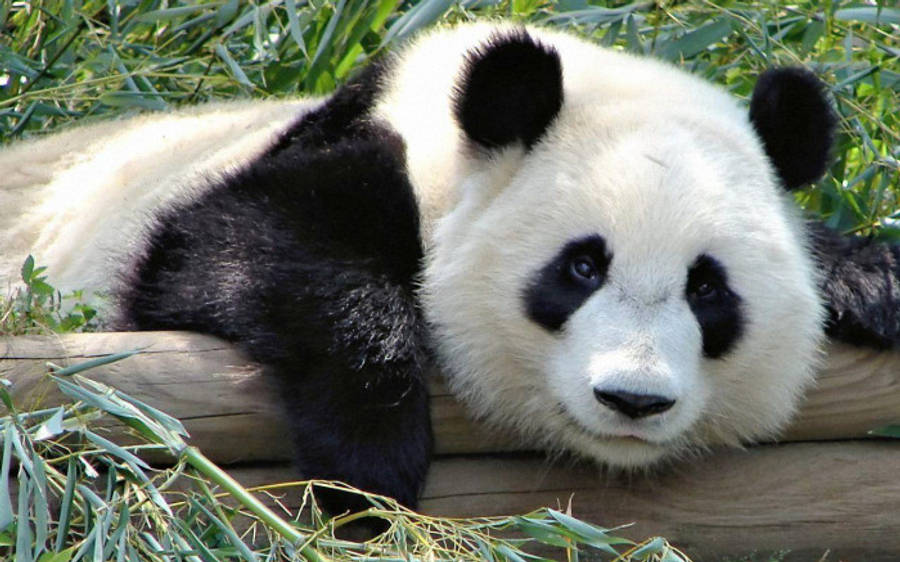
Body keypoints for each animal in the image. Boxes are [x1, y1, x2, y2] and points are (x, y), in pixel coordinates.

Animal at [2, 22, 899, 516]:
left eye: (707, 288)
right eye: (581, 267)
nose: (633, 399)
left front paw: (871, 283)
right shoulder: (335, 158)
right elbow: (229, 253)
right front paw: (370, 465)